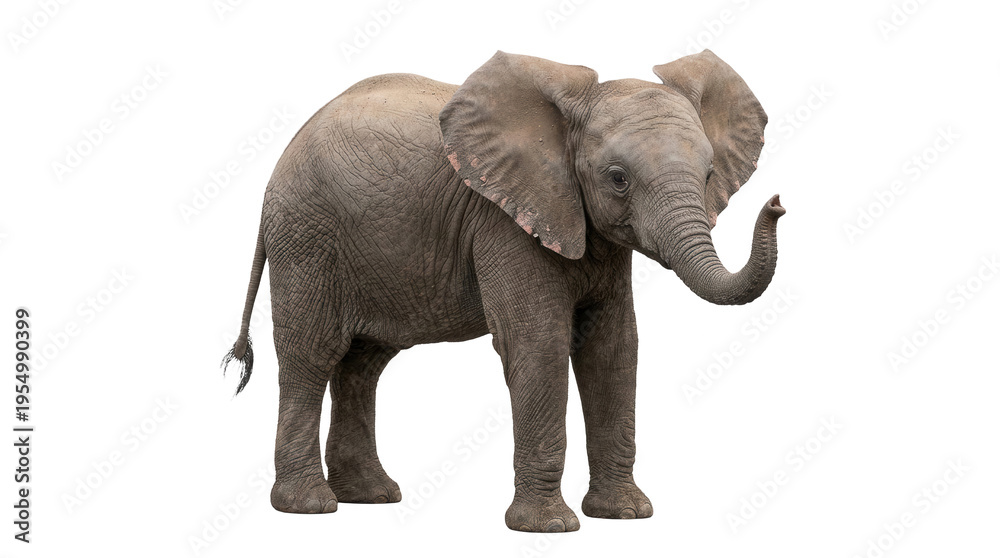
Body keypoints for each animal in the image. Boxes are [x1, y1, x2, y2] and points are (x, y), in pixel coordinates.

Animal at [222, 49, 783, 532]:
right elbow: (539, 345)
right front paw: (550, 527)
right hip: (306, 238)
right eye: (618, 178)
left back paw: (372, 496)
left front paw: (625, 515)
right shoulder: (504, 219)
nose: (778, 204)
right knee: (311, 355)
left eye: (708, 175)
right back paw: (309, 506)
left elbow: (614, 349)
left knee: (363, 363)